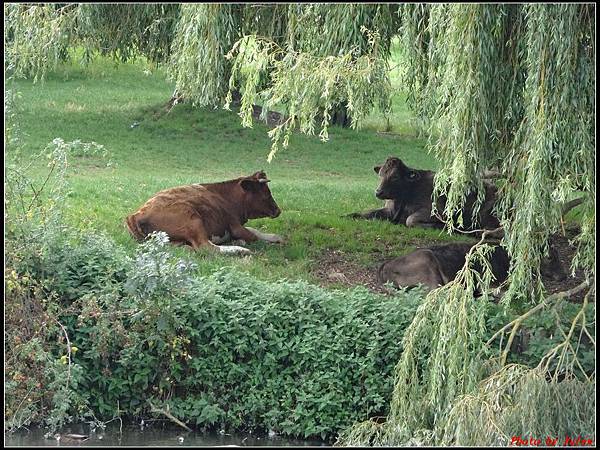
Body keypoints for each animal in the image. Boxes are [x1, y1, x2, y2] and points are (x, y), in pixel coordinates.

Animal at [125, 171, 284, 253]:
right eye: (267, 194)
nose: (278, 210)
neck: (227, 197)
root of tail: (136, 215)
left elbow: (255, 231)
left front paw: (276, 237)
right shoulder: (235, 225)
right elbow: (253, 235)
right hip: (192, 219)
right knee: (206, 248)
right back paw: (240, 249)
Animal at [350, 156, 500, 230]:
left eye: (395, 177)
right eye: (380, 175)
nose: (378, 192)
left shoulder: (436, 212)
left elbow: (410, 220)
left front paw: (439, 226)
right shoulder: (388, 210)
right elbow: (366, 213)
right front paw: (349, 215)